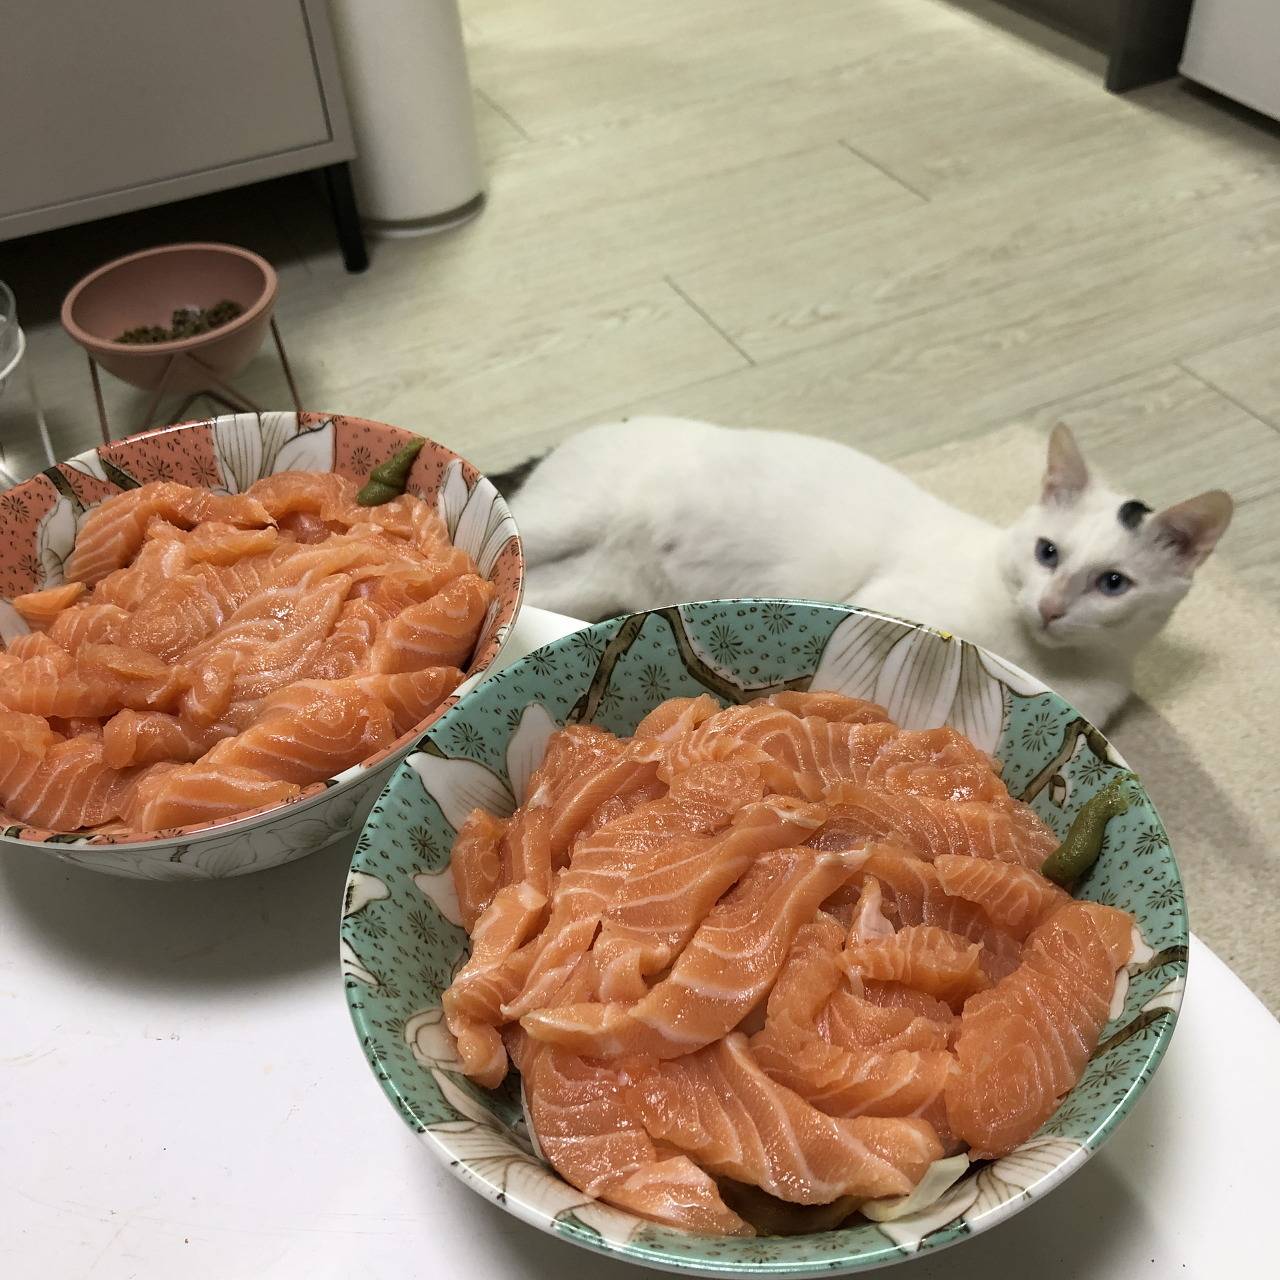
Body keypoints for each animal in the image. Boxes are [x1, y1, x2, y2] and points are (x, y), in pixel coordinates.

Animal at [506, 417, 1228, 727]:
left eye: (1113, 583)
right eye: (1047, 551)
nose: (1050, 607)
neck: (1044, 659)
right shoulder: (890, 603)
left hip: (592, 582)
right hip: (563, 519)